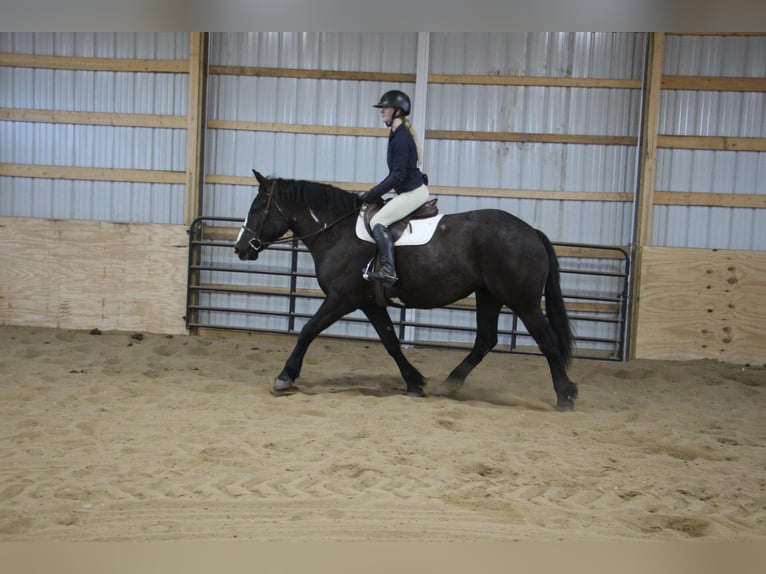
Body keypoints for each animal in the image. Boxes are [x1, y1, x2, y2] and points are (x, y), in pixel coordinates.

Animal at [236, 169, 584, 412]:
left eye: (257, 207)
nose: (240, 248)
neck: (337, 232)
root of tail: (530, 231)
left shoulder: (341, 299)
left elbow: (308, 330)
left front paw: (285, 377)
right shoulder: (369, 303)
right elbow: (390, 342)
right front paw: (415, 382)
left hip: (522, 302)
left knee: (546, 340)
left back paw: (565, 395)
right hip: (489, 295)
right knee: (486, 339)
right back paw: (449, 385)